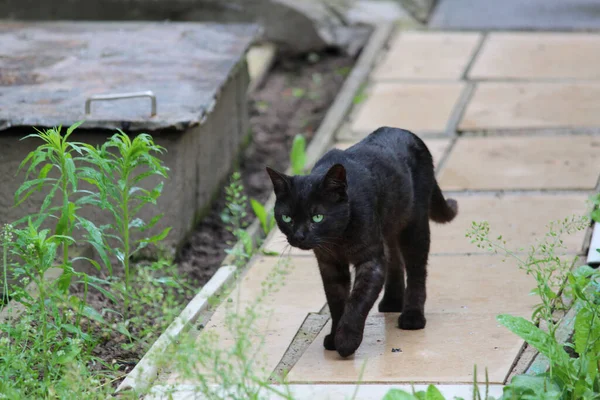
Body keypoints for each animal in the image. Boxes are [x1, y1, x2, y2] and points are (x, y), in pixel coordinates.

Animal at [264, 126, 458, 358]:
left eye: (317, 217)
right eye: (287, 218)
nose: (299, 236)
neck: (337, 241)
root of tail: (409, 133)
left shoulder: (370, 260)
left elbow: (357, 301)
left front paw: (346, 342)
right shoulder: (329, 265)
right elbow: (337, 303)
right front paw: (333, 338)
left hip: (414, 225)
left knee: (416, 270)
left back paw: (412, 316)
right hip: (390, 225)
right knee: (395, 259)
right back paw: (392, 301)